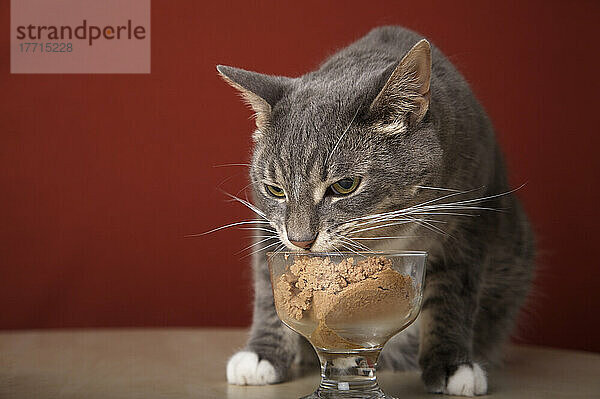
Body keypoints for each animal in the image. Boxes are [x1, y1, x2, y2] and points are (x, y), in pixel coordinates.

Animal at [219, 26, 536, 398]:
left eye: (345, 185)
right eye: (275, 190)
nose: (301, 241)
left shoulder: (470, 220)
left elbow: (452, 297)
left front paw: (452, 366)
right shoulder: (269, 226)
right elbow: (272, 291)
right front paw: (261, 356)